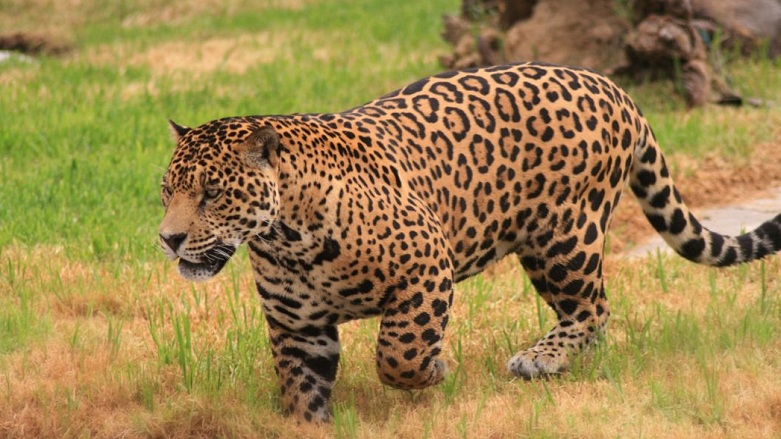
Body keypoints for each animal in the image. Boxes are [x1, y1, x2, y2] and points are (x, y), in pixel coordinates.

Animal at [158, 62, 781, 423]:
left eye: (212, 193)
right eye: (167, 192)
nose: (168, 239)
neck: (286, 236)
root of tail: (613, 86)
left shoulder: (426, 267)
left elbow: (399, 354)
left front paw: (435, 370)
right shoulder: (298, 328)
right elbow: (301, 397)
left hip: (561, 237)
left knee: (593, 307)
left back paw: (541, 359)